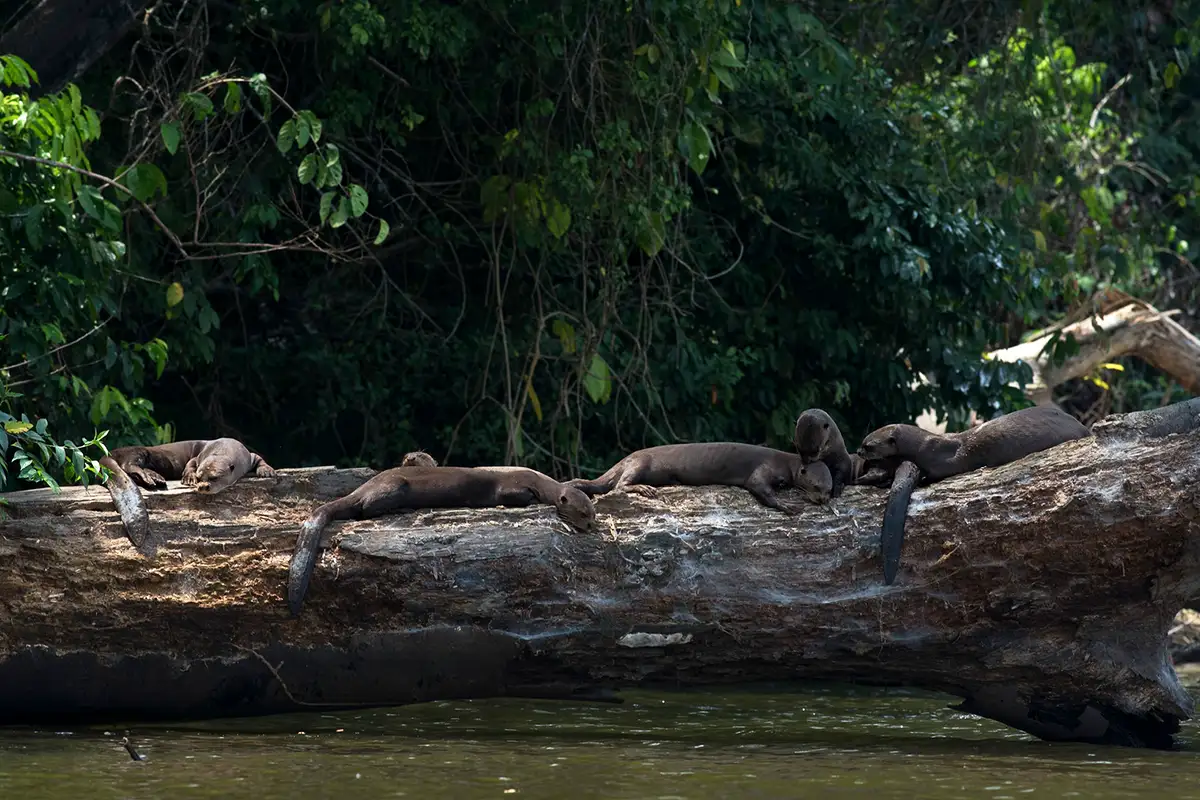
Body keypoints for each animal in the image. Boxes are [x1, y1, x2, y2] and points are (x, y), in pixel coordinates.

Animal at [101, 438, 277, 549]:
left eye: (214, 478)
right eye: (200, 477)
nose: (203, 486)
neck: (226, 446)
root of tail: (110, 453)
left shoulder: (248, 456)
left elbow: (260, 458)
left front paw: (266, 470)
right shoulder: (198, 457)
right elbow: (191, 464)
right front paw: (189, 478)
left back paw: (156, 478)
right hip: (137, 452)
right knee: (129, 465)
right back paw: (149, 478)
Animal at [287, 465, 597, 615]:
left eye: (593, 512)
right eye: (583, 513)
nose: (592, 526)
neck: (540, 483)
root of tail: (362, 487)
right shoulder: (510, 487)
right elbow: (516, 496)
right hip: (394, 486)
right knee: (365, 508)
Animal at [566, 442, 833, 513]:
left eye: (829, 488)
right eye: (816, 485)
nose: (823, 499)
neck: (786, 463)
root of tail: (623, 459)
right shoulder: (764, 468)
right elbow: (758, 486)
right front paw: (787, 505)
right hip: (639, 463)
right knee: (618, 486)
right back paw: (644, 489)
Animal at [857, 405, 1091, 584]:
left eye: (868, 446)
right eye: (862, 442)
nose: (859, 452)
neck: (927, 446)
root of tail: (1083, 427)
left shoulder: (942, 463)